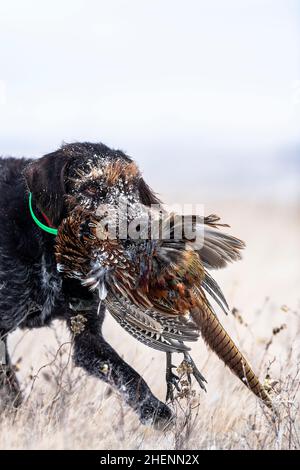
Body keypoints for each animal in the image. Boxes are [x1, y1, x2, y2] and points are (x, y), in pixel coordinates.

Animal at [0, 142, 172, 426]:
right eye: (90, 188)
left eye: (130, 187)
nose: (136, 230)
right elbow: (9, 388)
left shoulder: (87, 336)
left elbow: (126, 374)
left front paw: (154, 410)